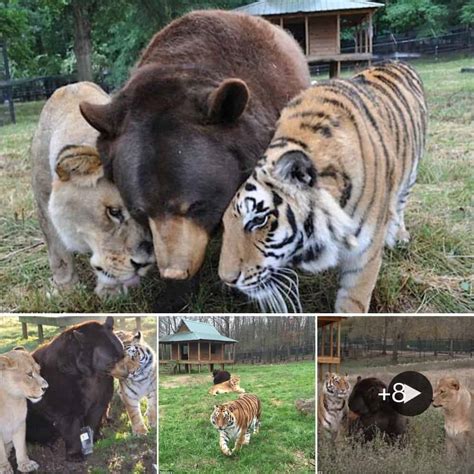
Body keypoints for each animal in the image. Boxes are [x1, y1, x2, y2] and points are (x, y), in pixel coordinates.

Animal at [31, 81, 154, 296]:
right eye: (114, 212)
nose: (144, 264)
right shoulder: (43, 203)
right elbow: (58, 254)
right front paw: (66, 289)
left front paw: (110, 291)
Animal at [220, 61, 428, 312]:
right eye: (224, 224)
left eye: (258, 220)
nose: (226, 280)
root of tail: (397, 61)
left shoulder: (364, 256)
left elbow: (352, 305)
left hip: (412, 172)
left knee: (400, 203)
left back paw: (399, 235)